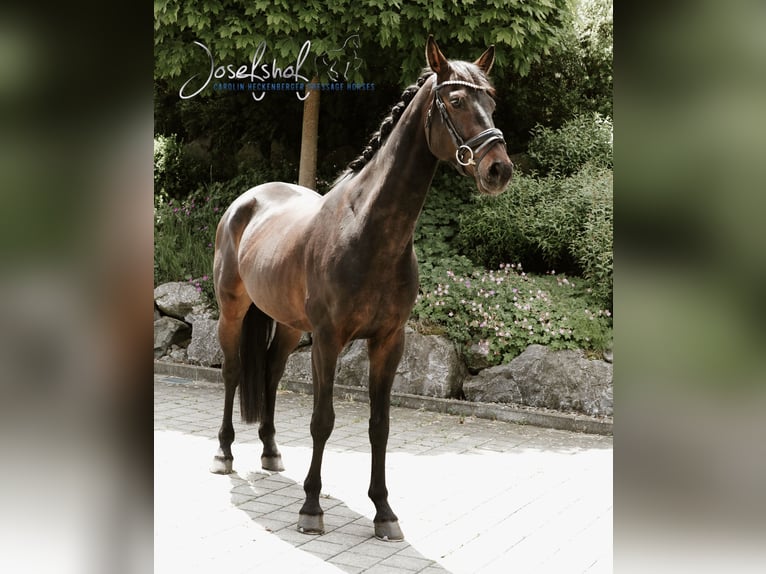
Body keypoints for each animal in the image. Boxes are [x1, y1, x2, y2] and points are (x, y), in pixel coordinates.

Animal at [210, 36, 513, 541]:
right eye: (455, 101)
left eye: (491, 102)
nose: (499, 169)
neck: (367, 231)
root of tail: (246, 200)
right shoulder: (328, 340)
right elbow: (323, 421)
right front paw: (311, 507)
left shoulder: (389, 341)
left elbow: (379, 425)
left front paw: (384, 511)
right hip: (233, 310)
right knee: (234, 372)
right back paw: (224, 453)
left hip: (289, 326)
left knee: (270, 372)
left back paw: (270, 451)